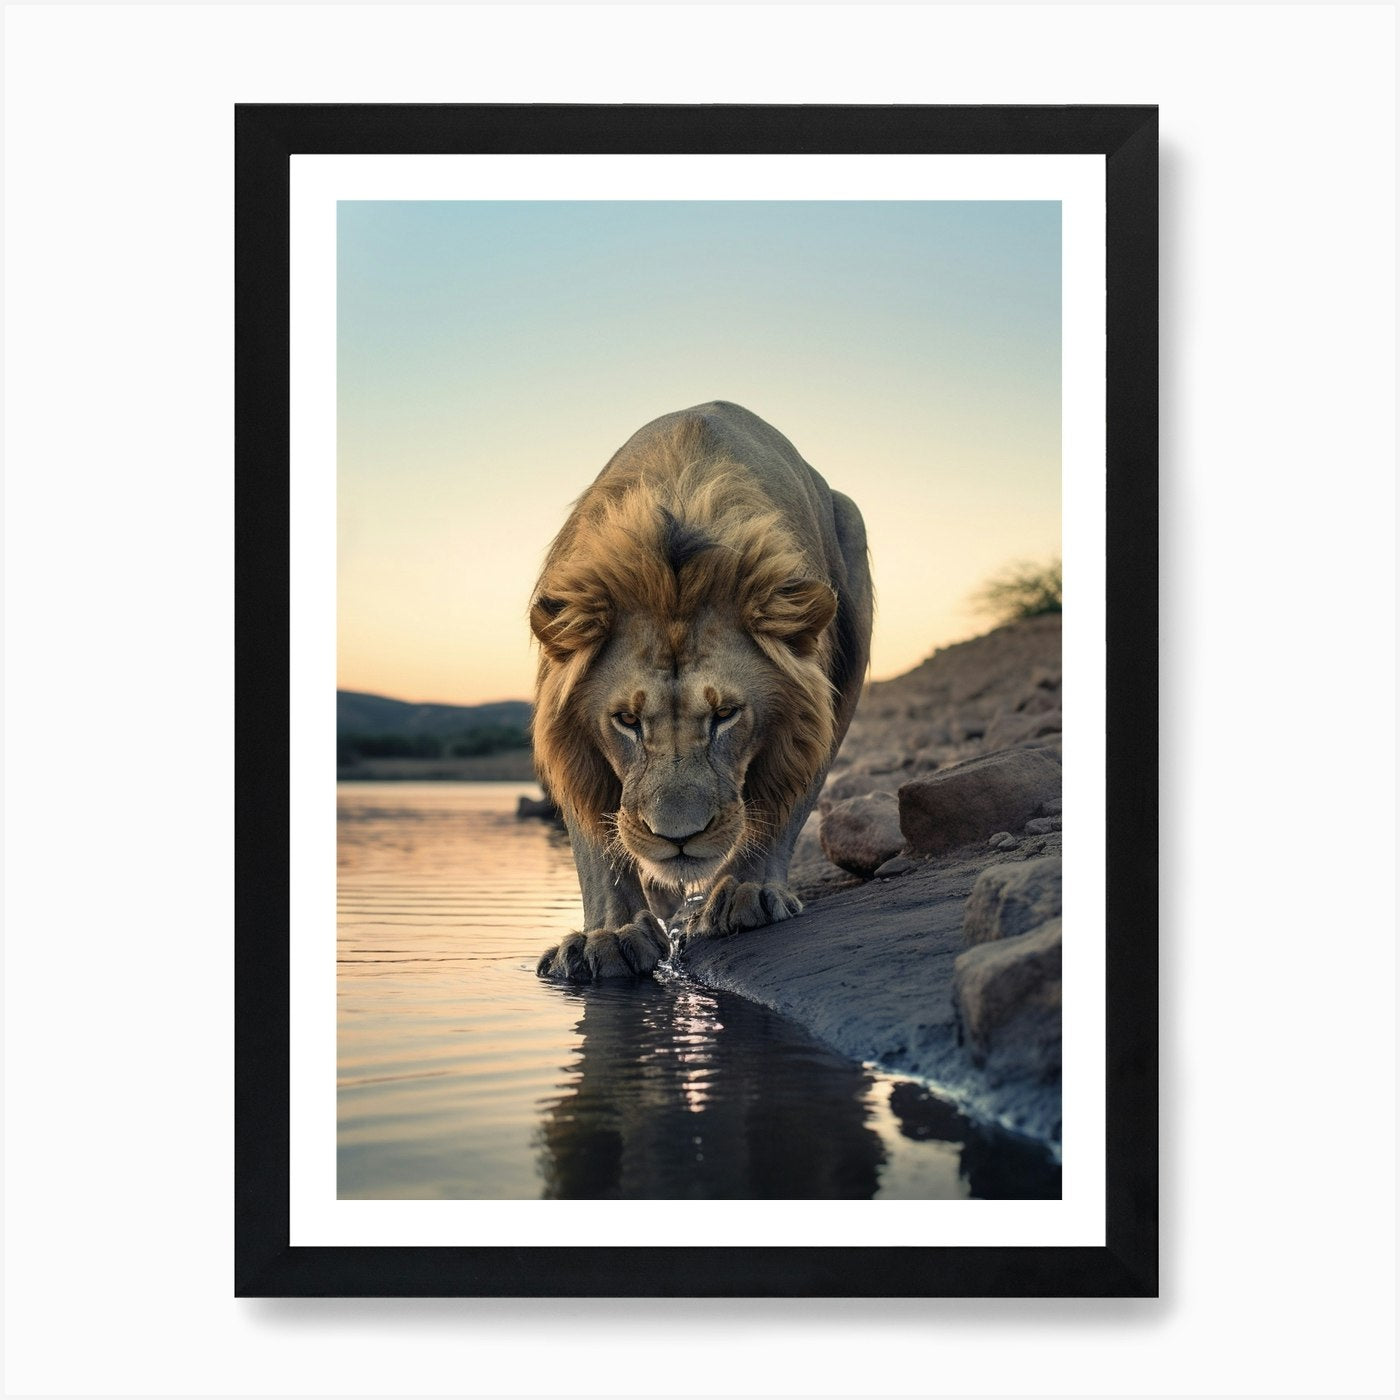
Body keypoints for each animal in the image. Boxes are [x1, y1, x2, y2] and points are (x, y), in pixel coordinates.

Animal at [531, 401, 872, 981]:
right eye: (626, 721)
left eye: (726, 715)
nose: (678, 838)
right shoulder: (571, 745)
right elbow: (595, 843)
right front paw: (611, 935)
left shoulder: (815, 713)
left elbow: (786, 804)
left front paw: (750, 890)